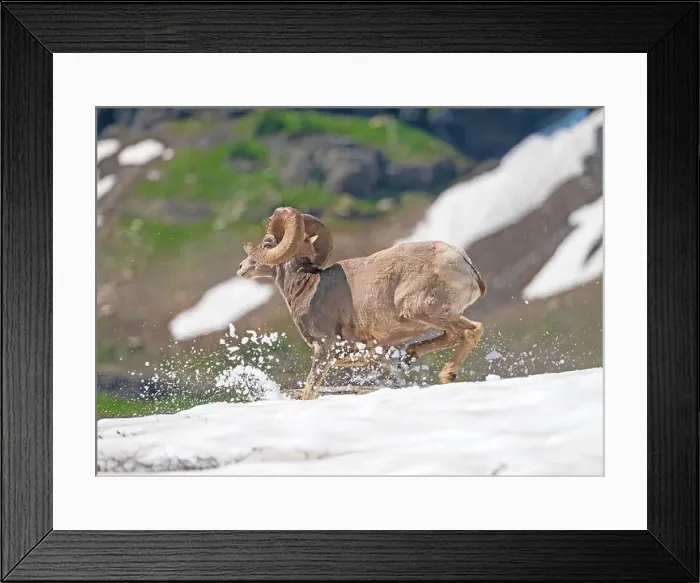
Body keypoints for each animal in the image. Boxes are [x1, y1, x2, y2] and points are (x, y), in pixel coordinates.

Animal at [237, 206, 487, 400]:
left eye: (267, 244)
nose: (241, 268)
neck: (308, 286)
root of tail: (463, 262)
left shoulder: (324, 349)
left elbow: (309, 392)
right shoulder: (372, 354)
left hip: (419, 309)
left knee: (471, 330)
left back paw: (447, 373)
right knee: (451, 335)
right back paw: (412, 355)